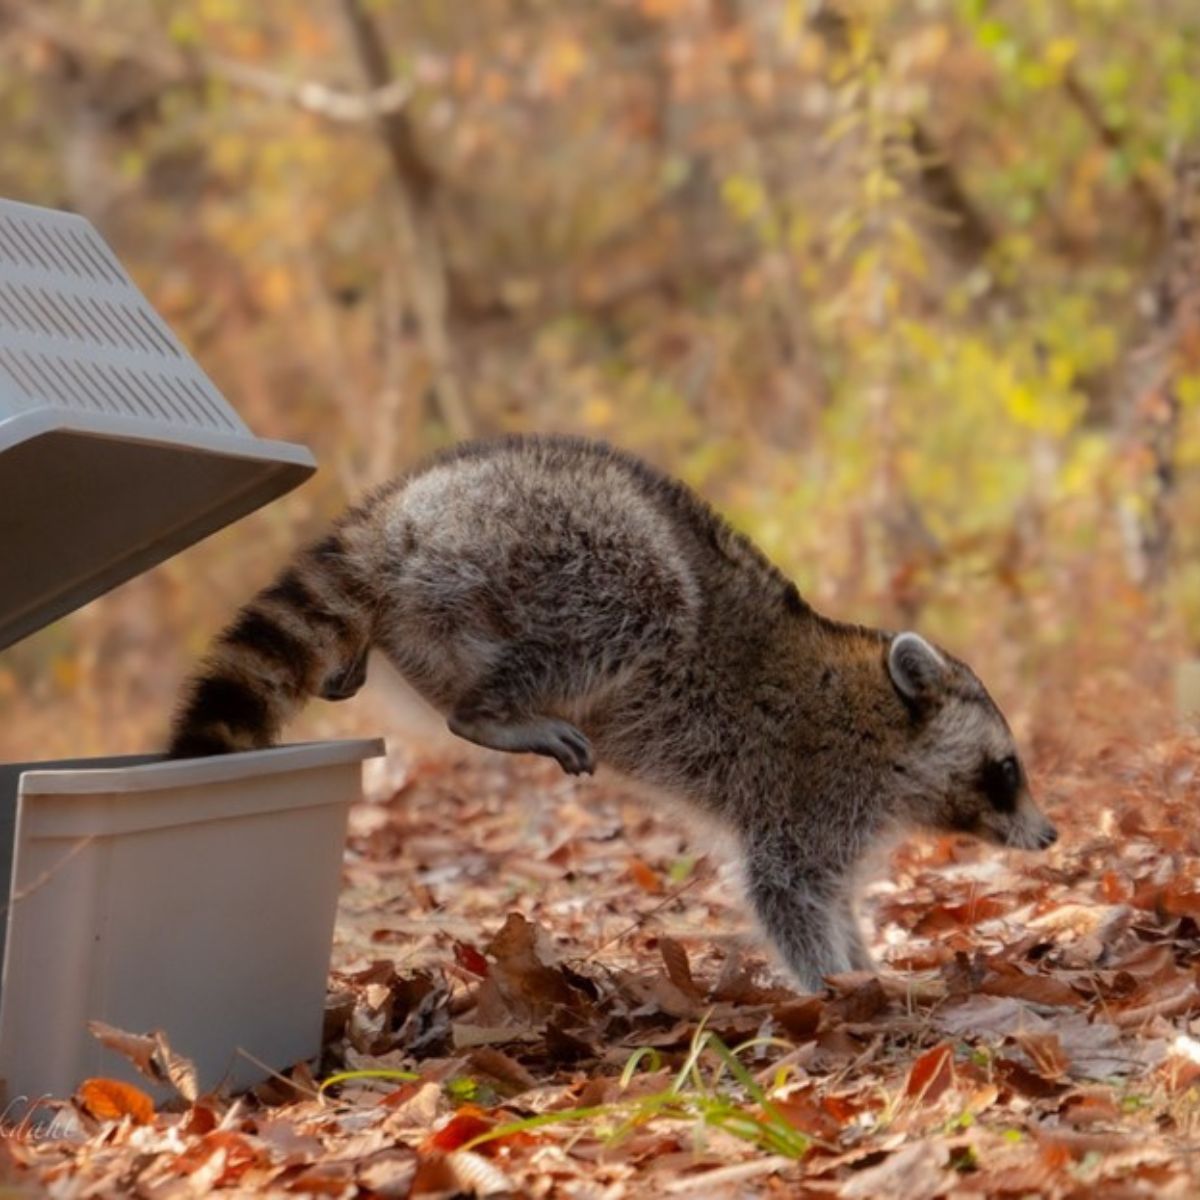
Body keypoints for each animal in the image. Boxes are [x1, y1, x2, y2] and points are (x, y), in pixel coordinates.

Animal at [168, 435, 1056, 991]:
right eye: (1006, 768)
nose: (1049, 834)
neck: (887, 728)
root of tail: (402, 510)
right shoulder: (810, 792)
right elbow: (790, 893)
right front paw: (843, 981)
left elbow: (828, 897)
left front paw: (862, 962)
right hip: (549, 549)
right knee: (648, 597)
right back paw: (488, 712)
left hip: (453, 585)